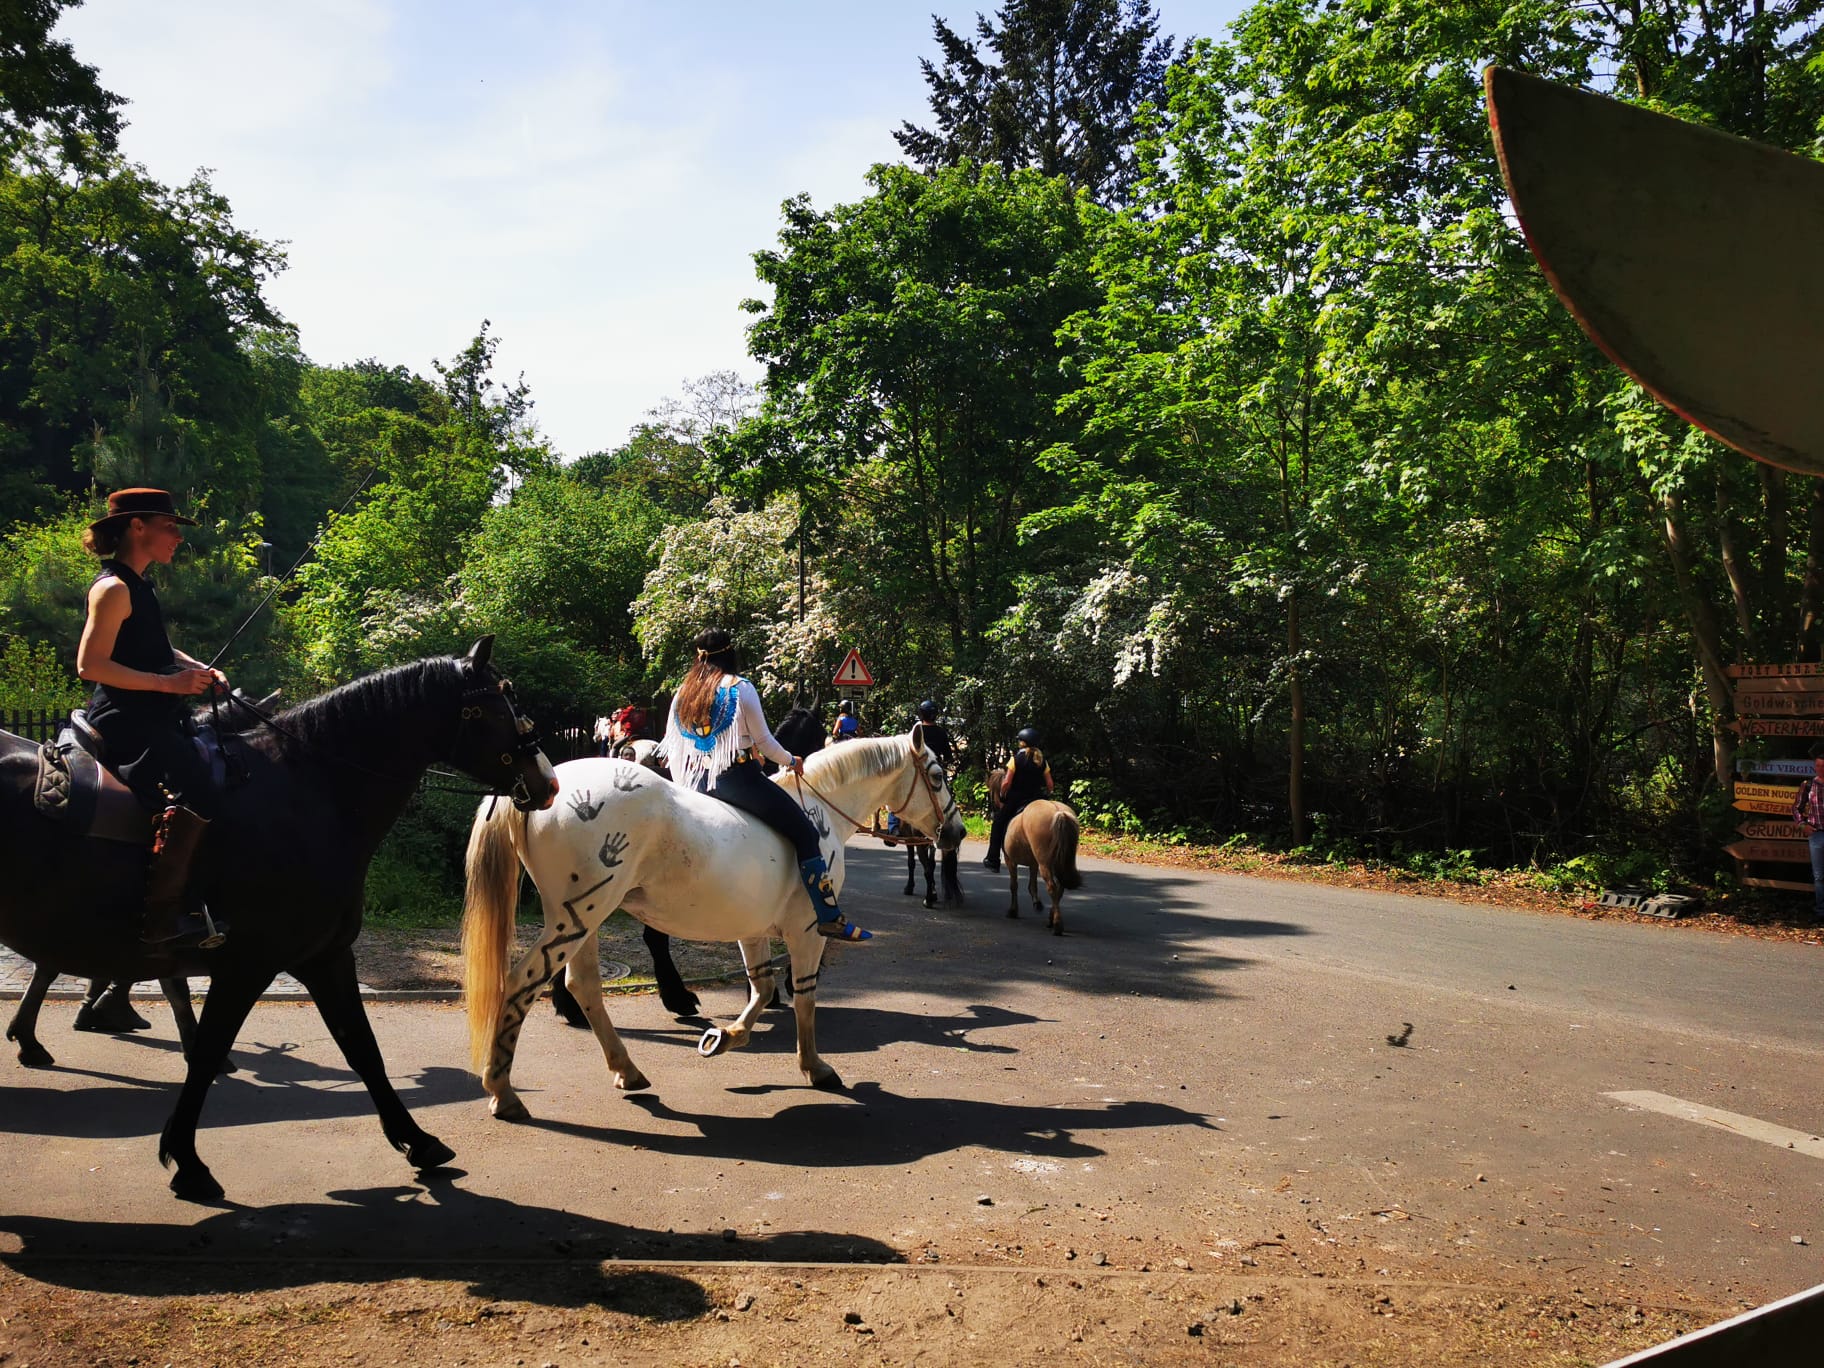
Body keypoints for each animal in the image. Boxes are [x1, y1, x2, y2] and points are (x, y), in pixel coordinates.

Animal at [0, 642, 554, 1196]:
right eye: (494, 707)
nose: (547, 781)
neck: (311, 789)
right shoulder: (246, 966)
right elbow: (206, 1051)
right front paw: (187, 1161)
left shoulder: (325, 957)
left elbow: (362, 1048)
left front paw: (418, 1141)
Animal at [463, 722, 963, 1116]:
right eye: (937, 776)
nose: (955, 832)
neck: (818, 814)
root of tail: (538, 790)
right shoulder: (808, 932)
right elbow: (803, 997)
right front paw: (814, 1067)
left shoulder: (753, 929)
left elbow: (761, 988)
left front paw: (726, 1036)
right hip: (578, 917)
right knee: (522, 982)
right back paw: (502, 1090)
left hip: (583, 920)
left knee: (581, 986)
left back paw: (626, 1069)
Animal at [992, 773, 1072, 933]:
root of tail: (1058, 811)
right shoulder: (1034, 862)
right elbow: (1032, 885)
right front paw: (1037, 902)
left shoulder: (1010, 860)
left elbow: (1014, 885)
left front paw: (1013, 911)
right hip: (1058, 862)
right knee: (1060, 888)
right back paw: (1052, 919)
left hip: (1045, 863)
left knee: (1052, 887)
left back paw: (1057, 924)